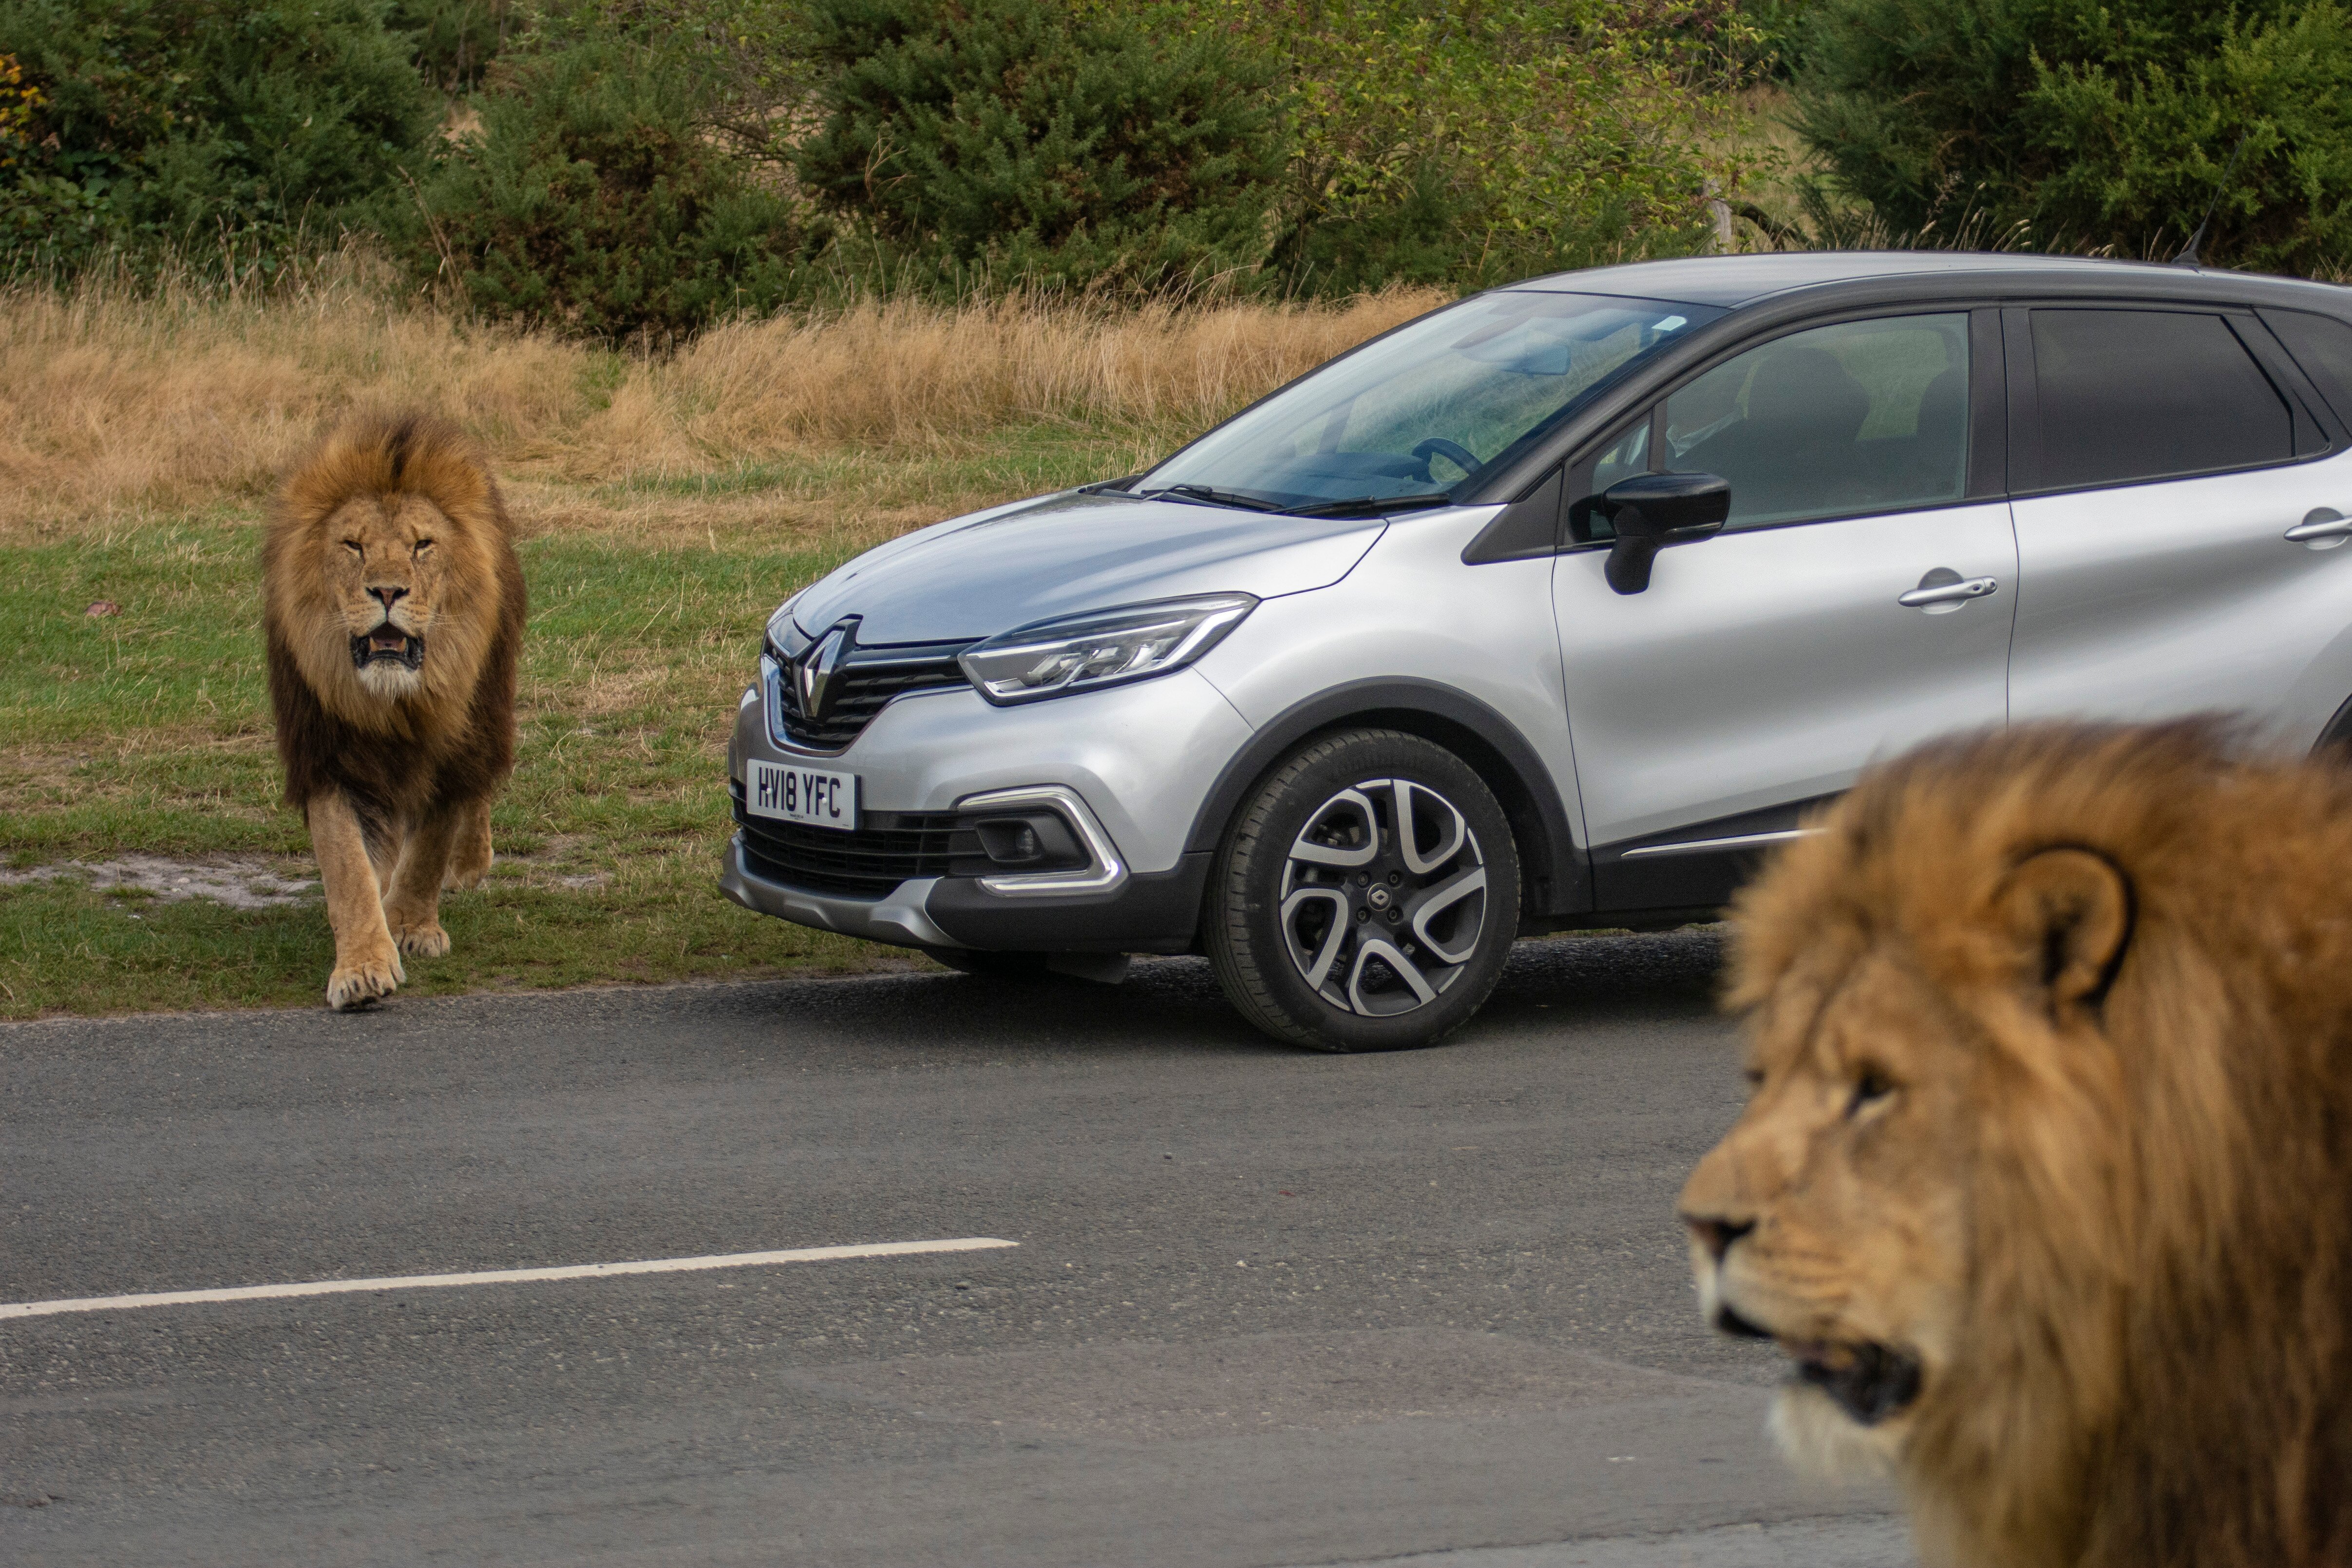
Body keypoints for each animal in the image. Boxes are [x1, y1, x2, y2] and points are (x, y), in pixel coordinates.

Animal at [265, 411, 527, 1011]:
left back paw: (469, 862)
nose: (387, 591)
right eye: (354, 546)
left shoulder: (458, 744)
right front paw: (363, 966)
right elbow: (347, 866)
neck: (394, 701)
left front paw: (410, 925)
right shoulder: (329, 755)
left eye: (422, 545)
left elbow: (431, 844)